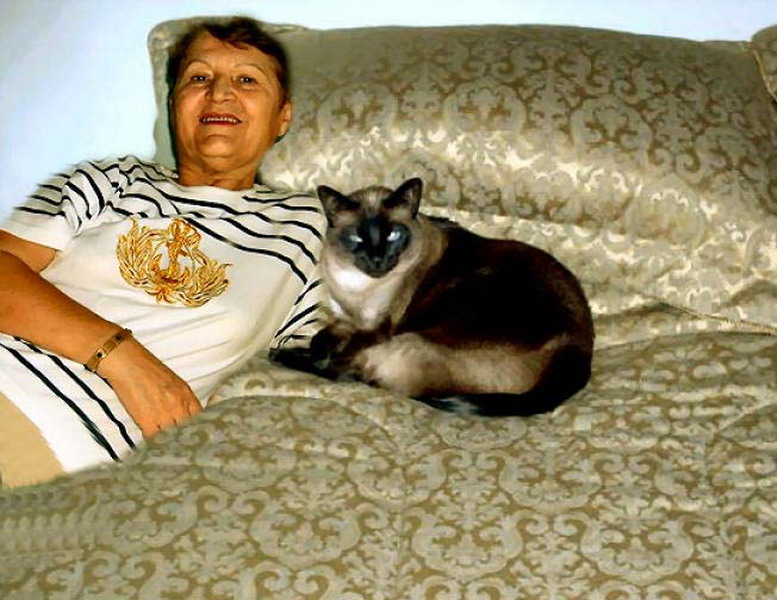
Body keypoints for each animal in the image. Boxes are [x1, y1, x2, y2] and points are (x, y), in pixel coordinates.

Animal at [271, 178, 594, 416]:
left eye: (393, 235)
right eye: (357, 238)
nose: (377, 260)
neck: (359, 290)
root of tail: (577, 349)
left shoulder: (376, 330)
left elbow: (336, 357)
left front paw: (308, 355)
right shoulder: (344, 320)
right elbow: (320, 339)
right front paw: (317, 349)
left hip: (414, 338)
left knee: (364, 376)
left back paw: (282, 355)